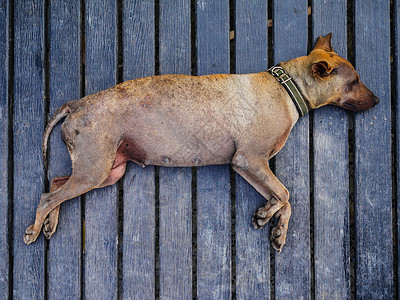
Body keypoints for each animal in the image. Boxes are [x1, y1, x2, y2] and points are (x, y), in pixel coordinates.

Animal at [23, 34, 380, 252]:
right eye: (355, 81)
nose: (378, 101)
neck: (286, 88)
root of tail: (76, 104)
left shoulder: (247, 166)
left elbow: (281, 197)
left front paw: (274, 225)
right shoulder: (250, 160)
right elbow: (285, 193)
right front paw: (268, 217)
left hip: (107, 170)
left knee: (56, 183)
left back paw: (50, 223)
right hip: (94, 170)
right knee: (46, 196)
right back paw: (34, 229)